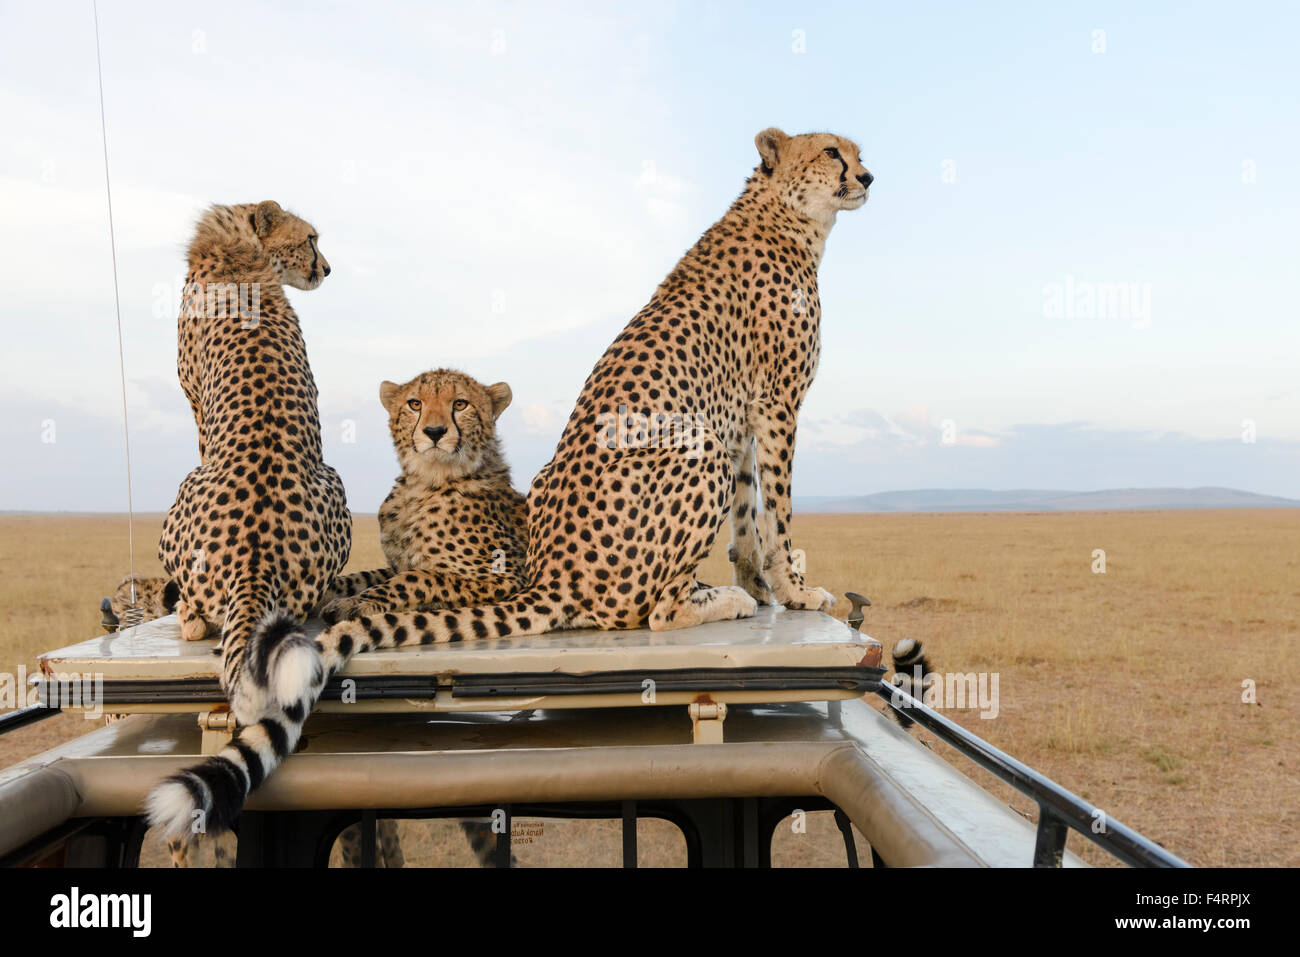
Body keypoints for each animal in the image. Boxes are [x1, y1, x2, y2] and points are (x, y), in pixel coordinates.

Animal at [143, 200, 351, 837]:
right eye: (311, 239)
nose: (327, 269)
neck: (238, 249)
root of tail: (255, 561)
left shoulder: (194, 406)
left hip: (190, 486)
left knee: (194, 617)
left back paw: (186, 615)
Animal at [300, 127, 868, 691]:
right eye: (831, 152)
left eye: (856, 152)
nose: (868, 176)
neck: (787, 217)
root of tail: (551, 577)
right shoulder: (777, 404)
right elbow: (778, 513)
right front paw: (795, 592)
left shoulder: (745, 419)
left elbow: (749, 516)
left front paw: (761, 586)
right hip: (699, 448)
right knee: (658, 613)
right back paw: (723, 601)